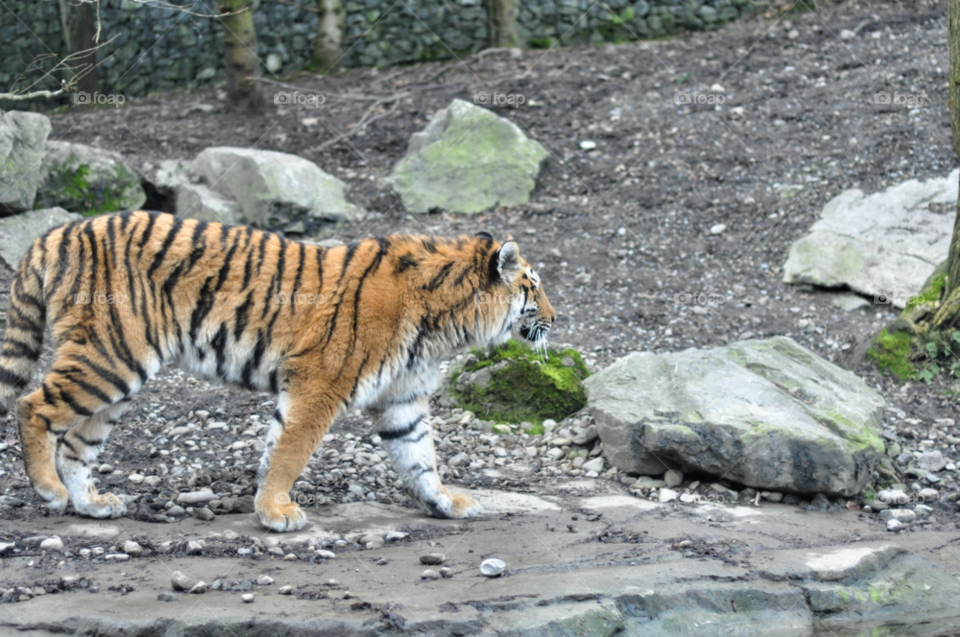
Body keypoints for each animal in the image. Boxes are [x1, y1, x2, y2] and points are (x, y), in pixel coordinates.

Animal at [0, 211, 556, 532]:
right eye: (532, 286)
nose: (555, 318)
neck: (444, 324)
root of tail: (57, 231)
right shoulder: (319, 383)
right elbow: (291, 451)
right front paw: (276, 514)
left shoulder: (401, 396)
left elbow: (419, 456)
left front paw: (444, 503)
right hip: (109, 356)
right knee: (32, 407)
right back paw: (49, 490)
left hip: (121, 373)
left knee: (76, 442)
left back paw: (91, 505)